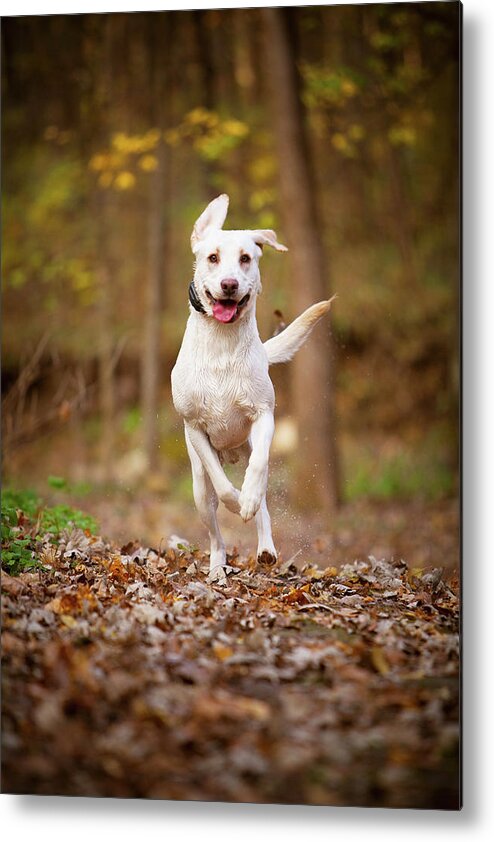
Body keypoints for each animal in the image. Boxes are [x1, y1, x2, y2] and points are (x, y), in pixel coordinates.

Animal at [172, 194, 334, 580]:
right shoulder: (194, 428)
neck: (222, 343)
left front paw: (246, 501)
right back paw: (217, 566)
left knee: (262, 501)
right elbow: (221, 484)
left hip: (248, 447)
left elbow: (258, 469)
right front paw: (235, 501)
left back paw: (265, 547)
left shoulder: (264, 415)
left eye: (246, 258)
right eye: (212, 257)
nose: (230, 284)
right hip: (198, 489)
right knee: (214, 531)